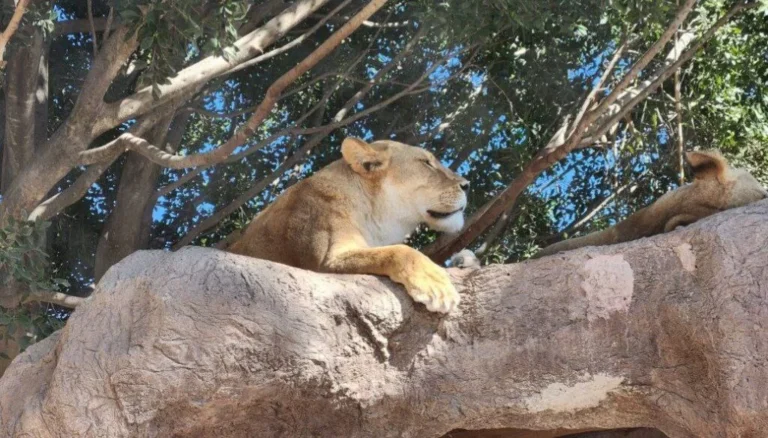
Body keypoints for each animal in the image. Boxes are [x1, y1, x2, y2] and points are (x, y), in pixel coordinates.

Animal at [226, 137, 470, 313]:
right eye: (427, 163)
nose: (467, 184)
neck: (376, 215)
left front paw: (464, 260)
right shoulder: (327, 261)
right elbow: (400, 251)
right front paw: (437, 286)